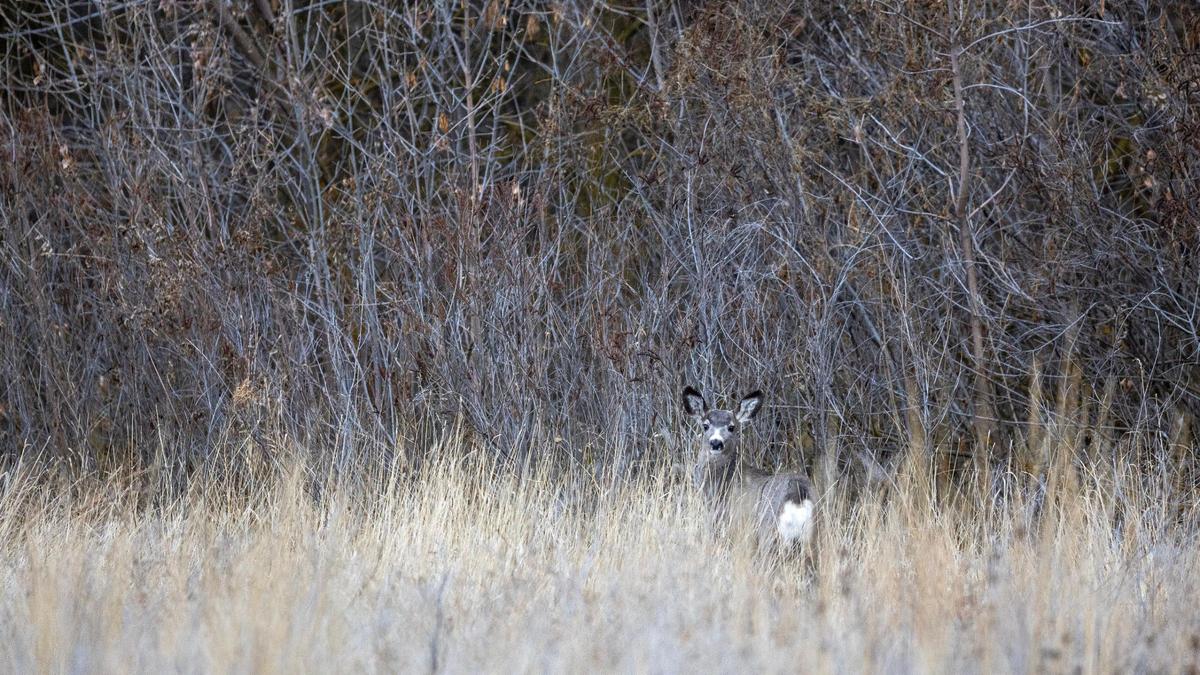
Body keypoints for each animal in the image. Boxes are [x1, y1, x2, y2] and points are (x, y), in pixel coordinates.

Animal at [681, 386, 815, 550]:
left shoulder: (730, 521)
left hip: (768, 531)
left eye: (731, 427)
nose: (716, 442)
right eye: (705, 425)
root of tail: (798, 495)